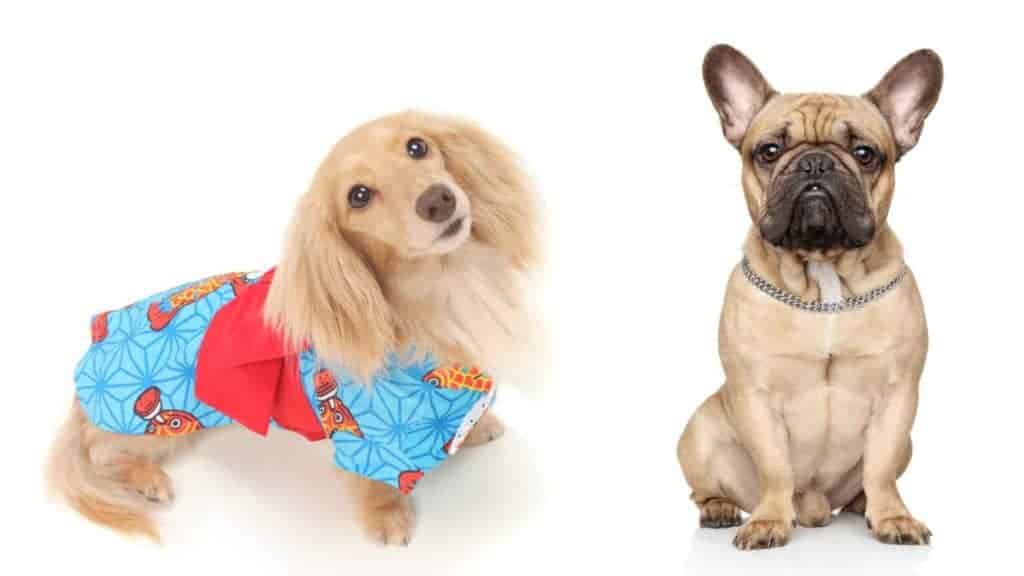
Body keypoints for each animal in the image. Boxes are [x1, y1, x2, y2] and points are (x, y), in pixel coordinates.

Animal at [679, 44, 942, 545]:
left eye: (864, 153)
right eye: (769, 151)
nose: (816, 163)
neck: (824, 284)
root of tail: (816, 509)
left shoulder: (898, 395)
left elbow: (880, 467)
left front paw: (893, 518)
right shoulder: (755, 397)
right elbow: (775, 467)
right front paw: (767, 521)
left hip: (908, 444)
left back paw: (861, 506)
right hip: (698, 433)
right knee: (703, 488)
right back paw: (720, 508)